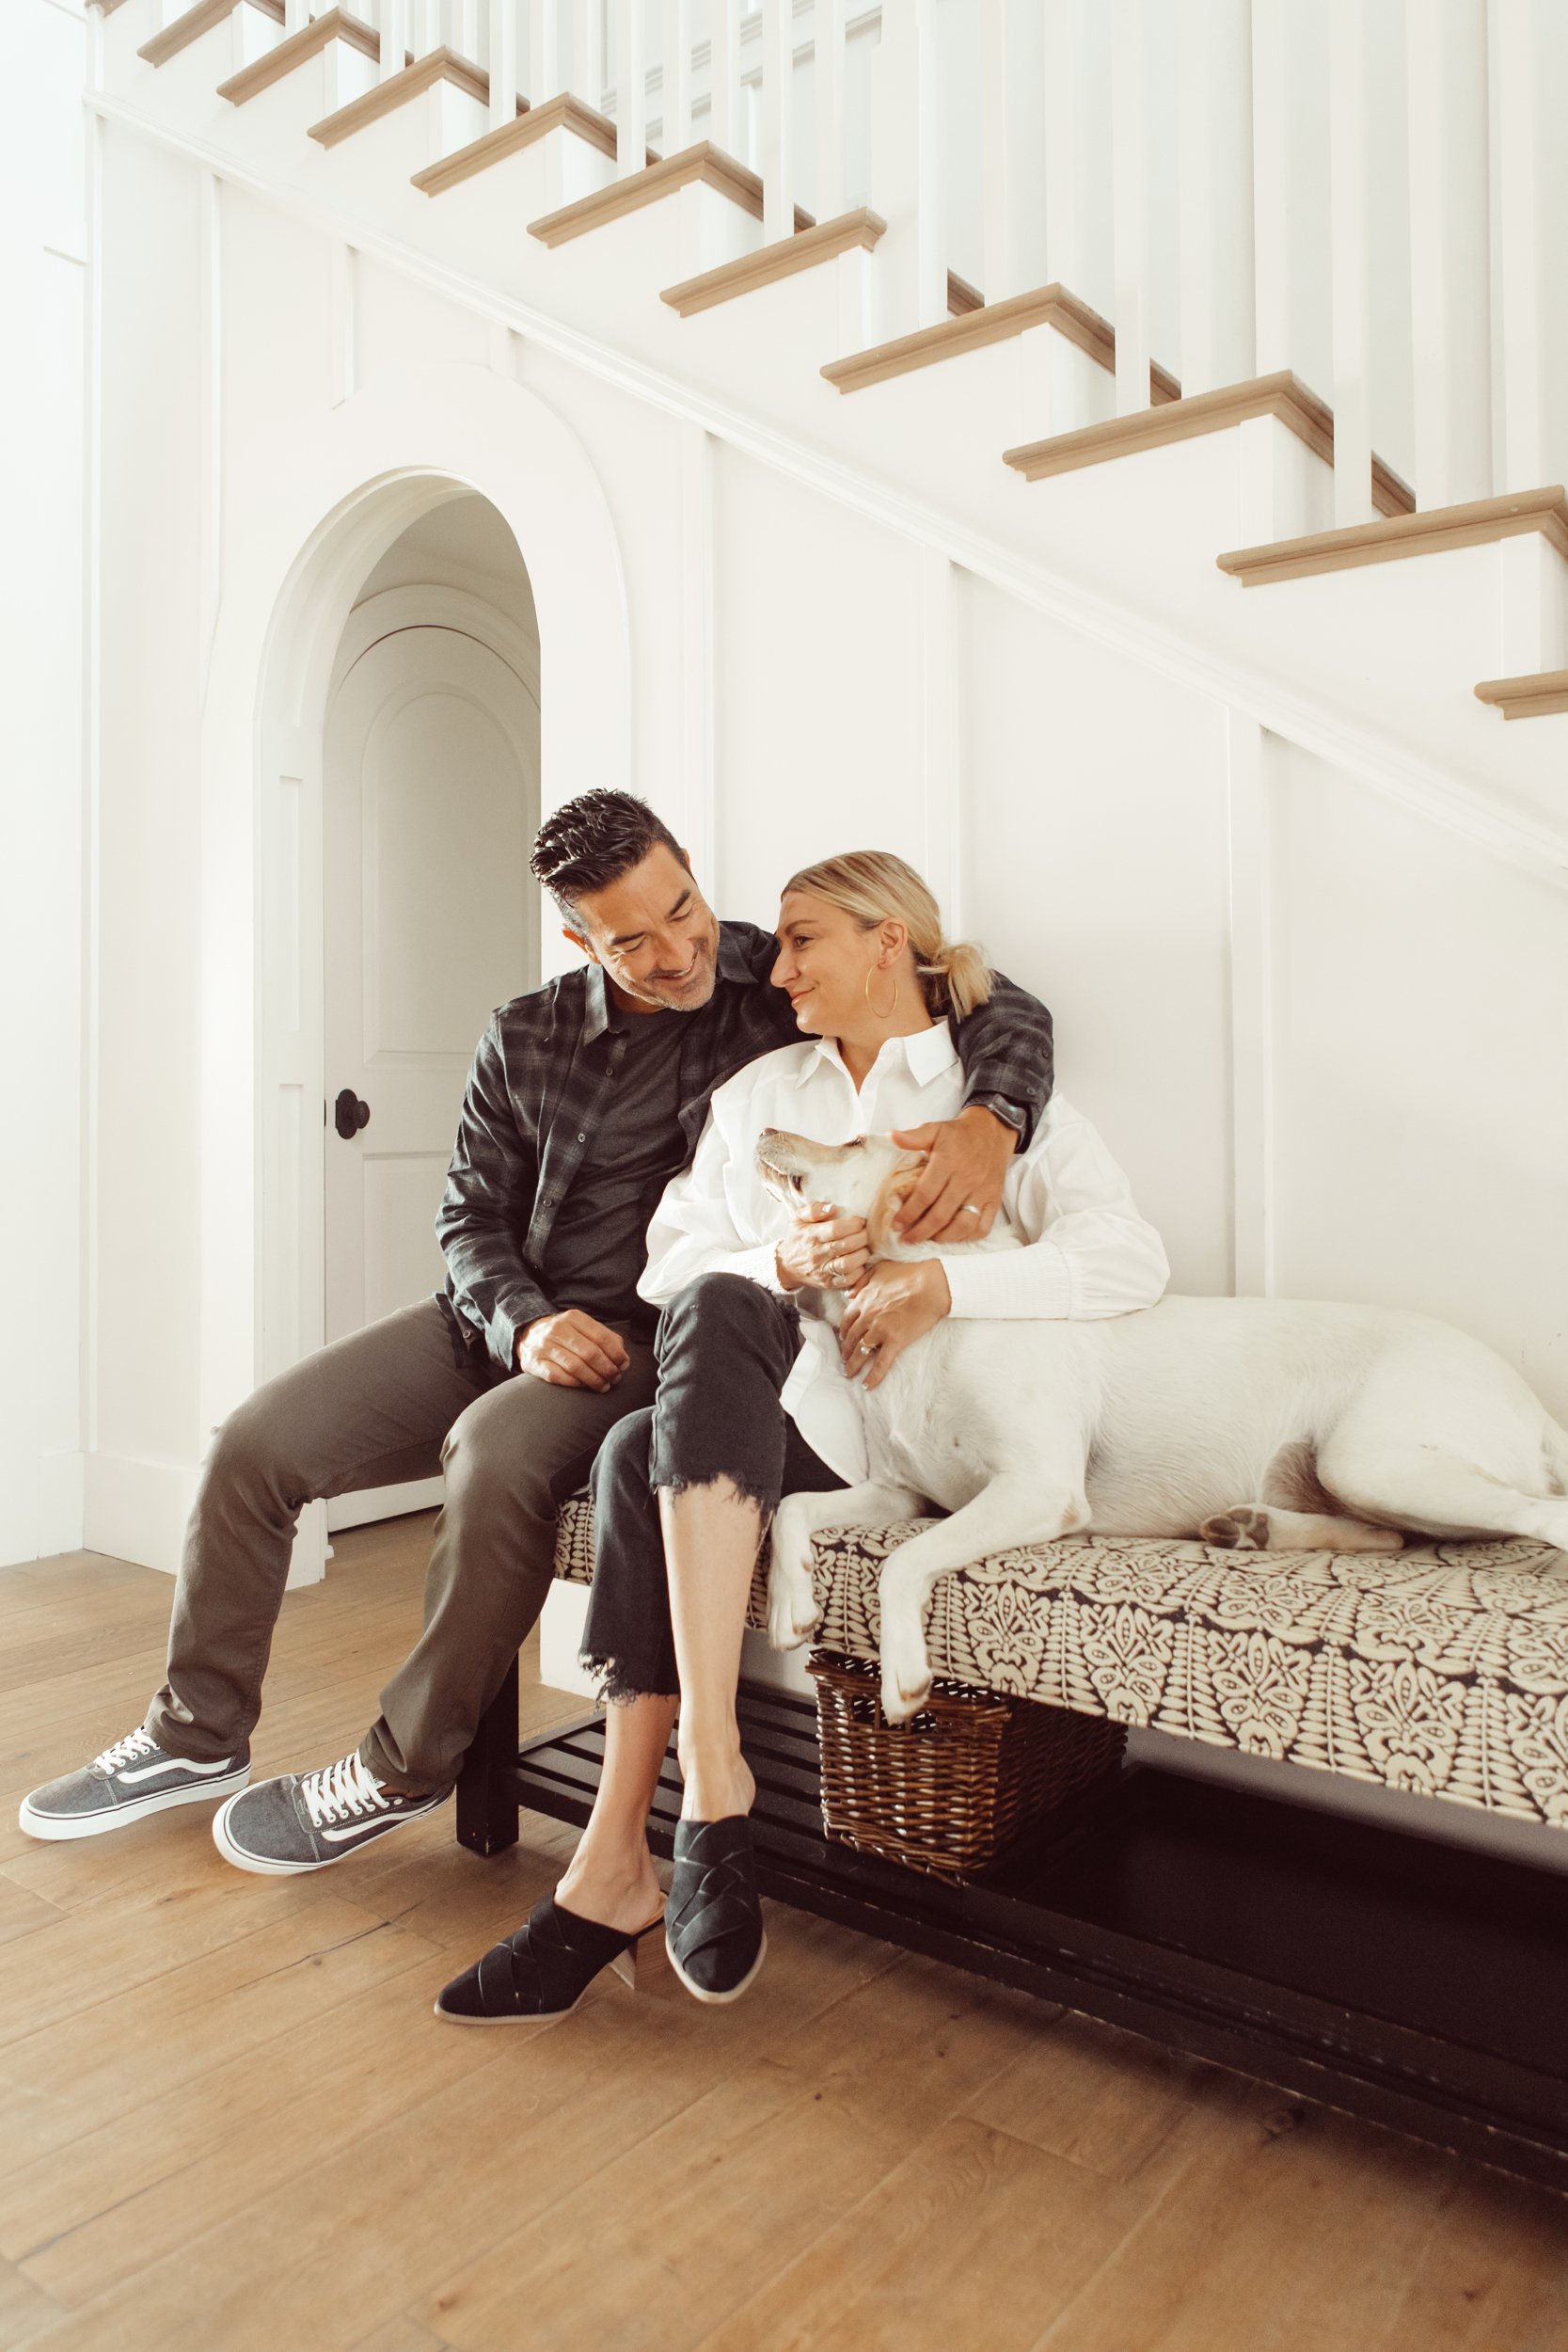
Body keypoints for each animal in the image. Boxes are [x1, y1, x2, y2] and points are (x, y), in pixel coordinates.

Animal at [756, 1129, 1568, 1722]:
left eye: (852, 1140)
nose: (762, 1127)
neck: (933, 1323)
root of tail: (1533, 1406)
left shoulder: (1037, 1490)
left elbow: (902, 1560)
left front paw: (904, 1676)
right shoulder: (904, 1495)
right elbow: (793, 1507)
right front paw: (791, 1610)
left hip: (1372, 1459)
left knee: (1540, 1516)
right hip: (1358, 1476)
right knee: (1393, 1536)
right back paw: (1252, 1528)